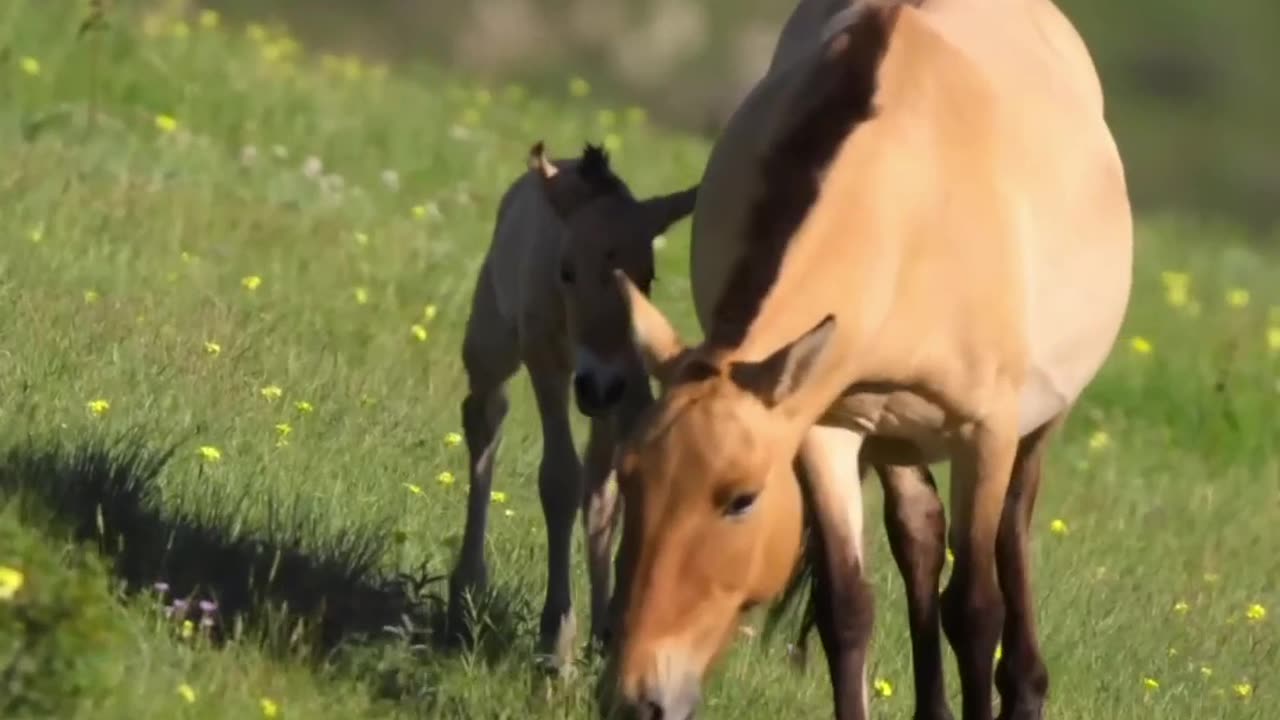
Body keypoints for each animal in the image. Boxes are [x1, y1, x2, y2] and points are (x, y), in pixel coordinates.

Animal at [445, 141, 696, 666]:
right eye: (567, 271)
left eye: (647, 277)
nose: (598, 387)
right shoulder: (546, 360)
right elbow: (559, 478)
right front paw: (556, 638)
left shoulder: (630, 377)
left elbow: (616, 486)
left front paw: (613, 630)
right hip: (492, 341)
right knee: (485, 417)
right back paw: (466, 591)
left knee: (598, 485)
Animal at [604, 1, 1126, 717]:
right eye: (630, 479)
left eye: (741, 499)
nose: (638, 697)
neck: (913, 210)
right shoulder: (826, 427)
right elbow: (846, 606)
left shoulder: (986, 434)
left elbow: (975, 609)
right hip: (893, 434)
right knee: (919, 537)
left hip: (1038, 423)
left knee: (1011, 532)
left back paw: (1025, 688)